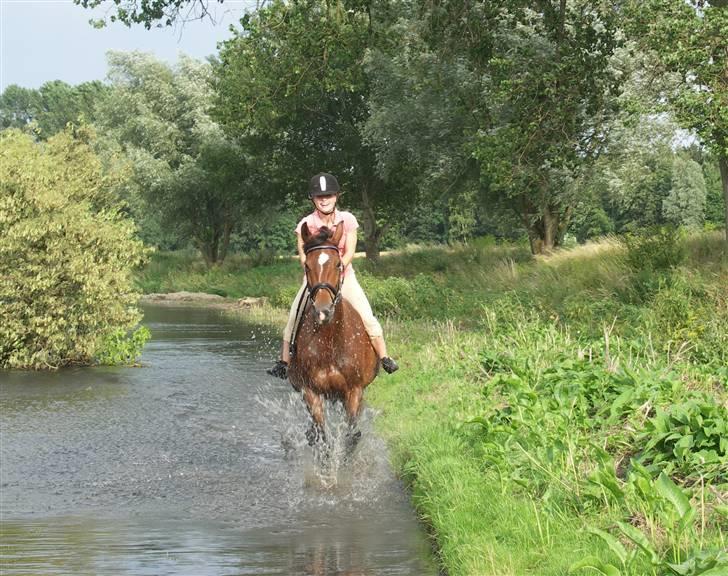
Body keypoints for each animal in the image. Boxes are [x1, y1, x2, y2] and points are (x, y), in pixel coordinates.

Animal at [288, 222, 382, 446]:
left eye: (338, 264)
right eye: (307, 266)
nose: (323, 310)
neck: (331, 342)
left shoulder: (354, 391)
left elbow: (351, 435)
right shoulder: (311, 392)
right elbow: (322, 436)